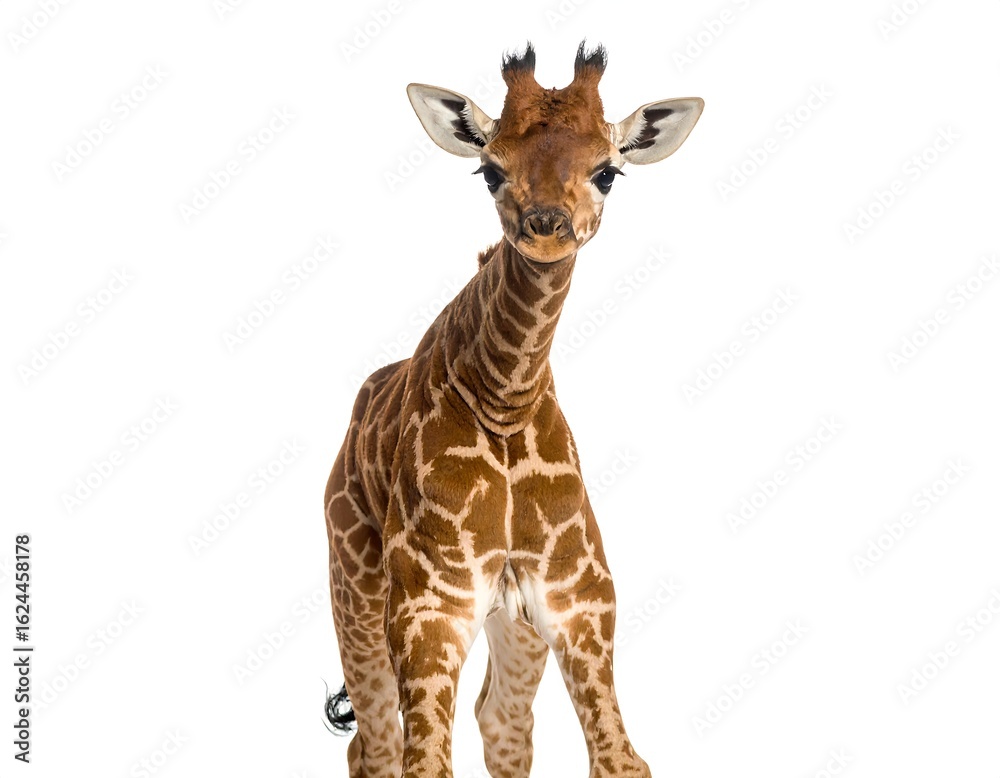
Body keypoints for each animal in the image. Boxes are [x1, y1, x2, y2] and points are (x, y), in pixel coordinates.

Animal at [324, 42, 703, 778]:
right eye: (489, 169)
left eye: (608, 172)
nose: (547, 229)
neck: (505, 400)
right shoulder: (427, 608)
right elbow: (422, 761)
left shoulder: (578, 600)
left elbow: (619, 758)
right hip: (353, 588)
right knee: (374, 741)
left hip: (511, 624)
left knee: (501, 723)